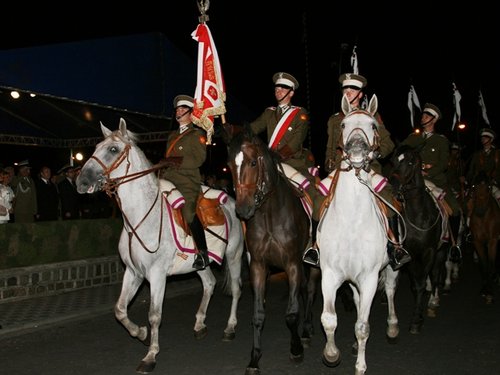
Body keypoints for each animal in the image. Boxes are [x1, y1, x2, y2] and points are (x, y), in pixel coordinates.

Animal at [75, 119, 245, 374]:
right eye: (95, 147)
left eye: (113, 149)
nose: (81, 182)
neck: (140, 217)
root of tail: (232, 202)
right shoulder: (133, 272)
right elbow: (120, 309)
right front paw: (141, 334)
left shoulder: (156, 275)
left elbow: (154, 315)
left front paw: (150, 355)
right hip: (200, 264)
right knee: (209, 284)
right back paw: (199, 324)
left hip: (234, 256)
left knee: (235, 289)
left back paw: (230, 328)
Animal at [226, 126, 320, 375]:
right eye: (229, 165)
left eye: (252, 163)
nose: (243, 209)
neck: (269, 213)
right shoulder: (258, 265)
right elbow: (258, 315)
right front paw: (254, 359)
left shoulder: (292, 264)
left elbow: (292, 313)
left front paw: (296, 349)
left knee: (310, 291)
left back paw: (307, 330)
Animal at [318, 94, 400, 375]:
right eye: (343, 125)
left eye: (373, 125)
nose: (356, 151)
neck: (351, 221)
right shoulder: (330, 274)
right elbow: (328, 319)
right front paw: (332, 354)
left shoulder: (370, 278)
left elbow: (363, 326)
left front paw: (360, 366)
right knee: (355, 300)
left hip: (391, 268)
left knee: (390, 291)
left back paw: (393, 327)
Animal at [388, 145, 448, 334]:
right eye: (393, 160)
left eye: (410, 162)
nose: (393, 185)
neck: (418, 214)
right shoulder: (412, 253)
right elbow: (416, 285)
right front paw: (416, 317)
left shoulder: (429, 251)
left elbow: (422, 283)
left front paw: (417, 319)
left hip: (441, 251)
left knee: (435, 275)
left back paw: (433, 302)